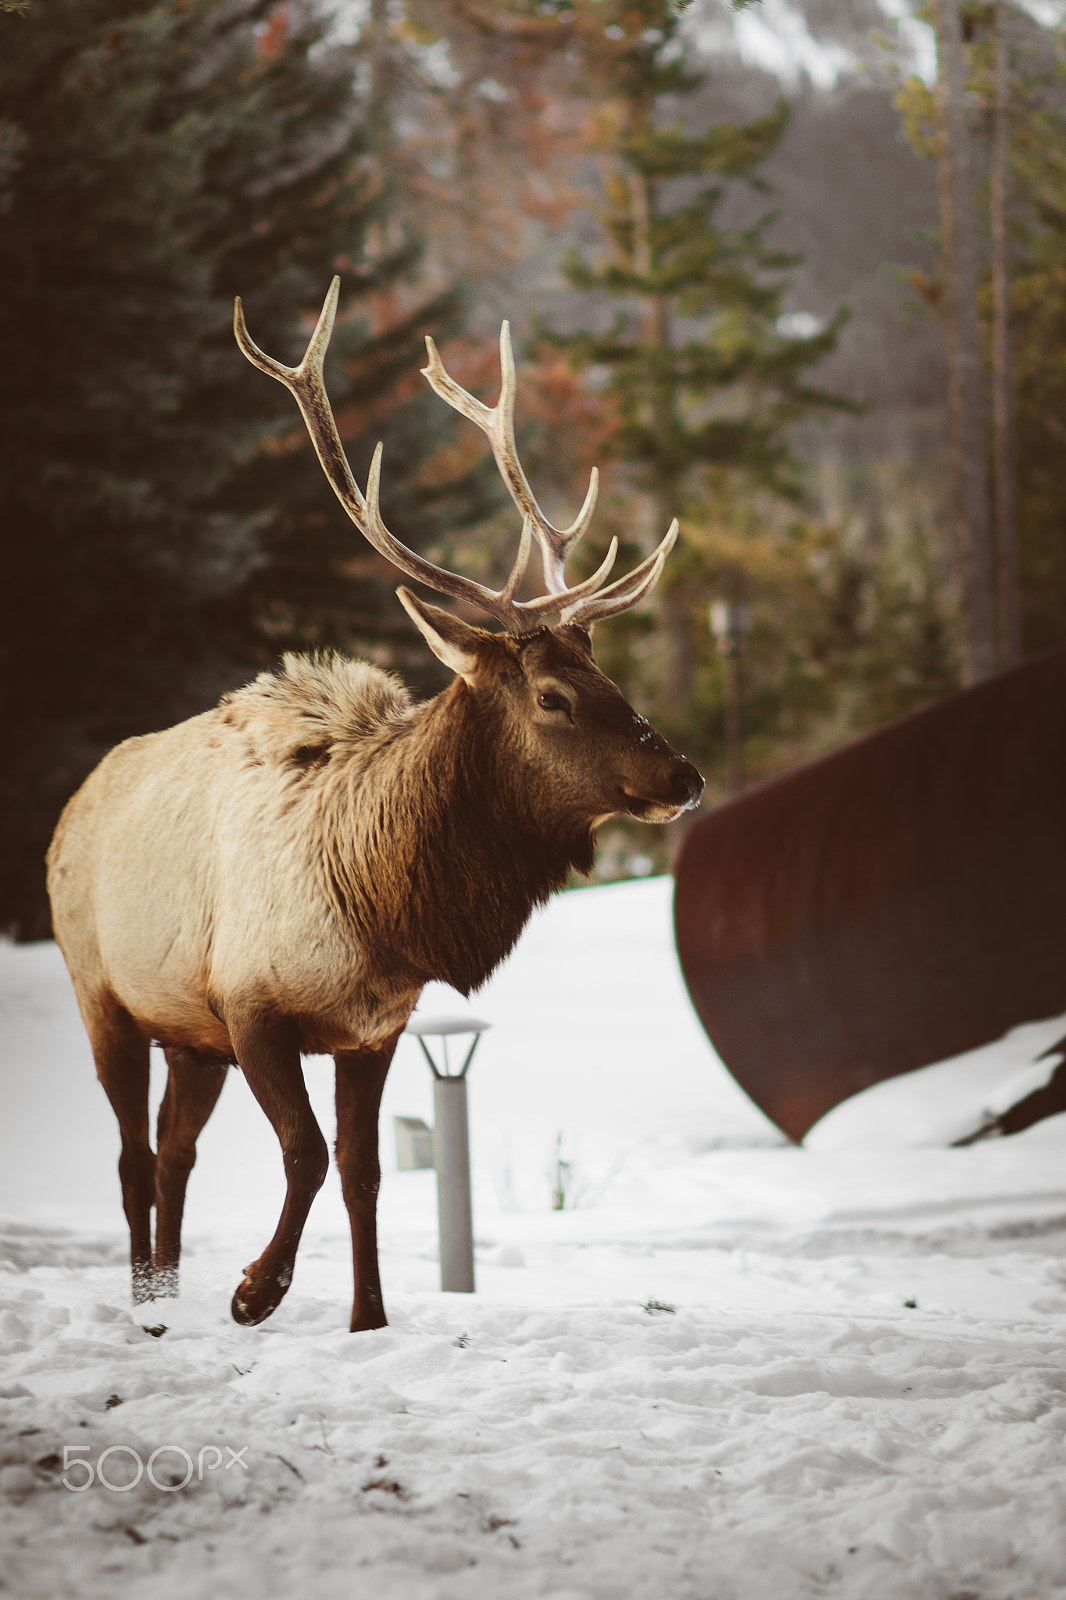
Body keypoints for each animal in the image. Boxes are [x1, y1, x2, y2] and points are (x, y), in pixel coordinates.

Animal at [46, 279, 704, 1332]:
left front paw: (369, 1319)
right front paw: (254, 1292)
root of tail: (75, 803)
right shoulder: (251, 1006)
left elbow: (363, 1170)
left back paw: (167, 1296)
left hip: (189, 1037)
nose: (685, 775)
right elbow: (307, 1153)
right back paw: (154, 1299)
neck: (380, 909)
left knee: (174, 1150)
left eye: (607, 673)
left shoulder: (373, 1027)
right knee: (132, 1158)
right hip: (104, 995)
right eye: (553, 695)